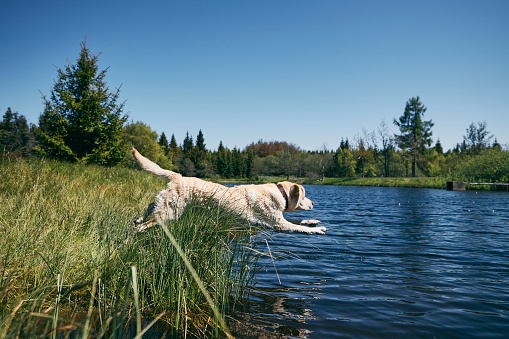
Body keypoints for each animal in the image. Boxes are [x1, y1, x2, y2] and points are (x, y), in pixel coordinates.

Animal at [132, 147, 326, 235]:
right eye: (305, 195)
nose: (314, 202)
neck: (280, 194)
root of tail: (177, 176)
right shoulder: (278, 224)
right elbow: (298, 226)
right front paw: (317, 229)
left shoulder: (278, 218)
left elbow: (299, 220)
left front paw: (313, 221)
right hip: (170, 214)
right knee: (144, 224)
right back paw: (132, 236)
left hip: (168, 206)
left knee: (151, 204)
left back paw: (138, 218)